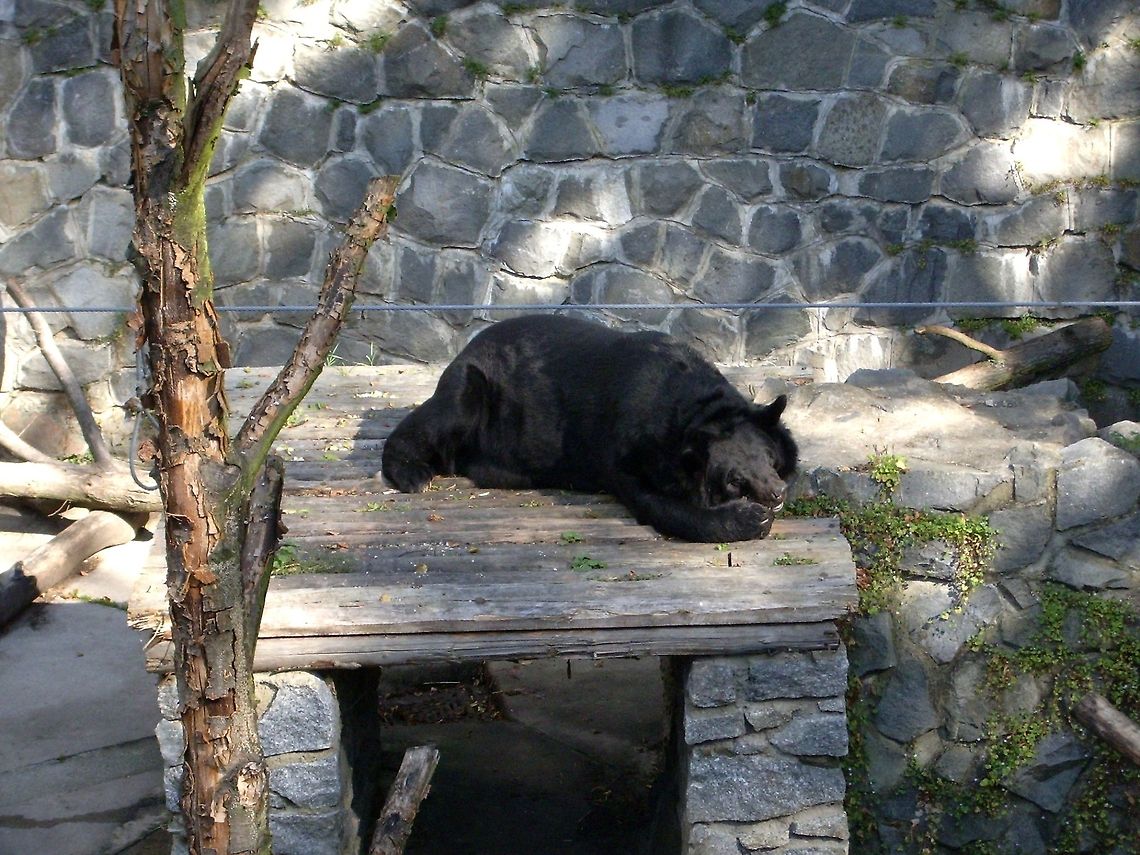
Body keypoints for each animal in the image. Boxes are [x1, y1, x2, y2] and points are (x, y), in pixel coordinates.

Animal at [380, 314, 797, 542]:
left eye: (768, 458)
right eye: (733, 480)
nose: (775, 493)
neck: (698, 407)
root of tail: (465, 349)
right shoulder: (630, 443)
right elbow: (655, 501)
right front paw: (749, 517)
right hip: (475, 389)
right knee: (436, 419)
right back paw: (413, 474)